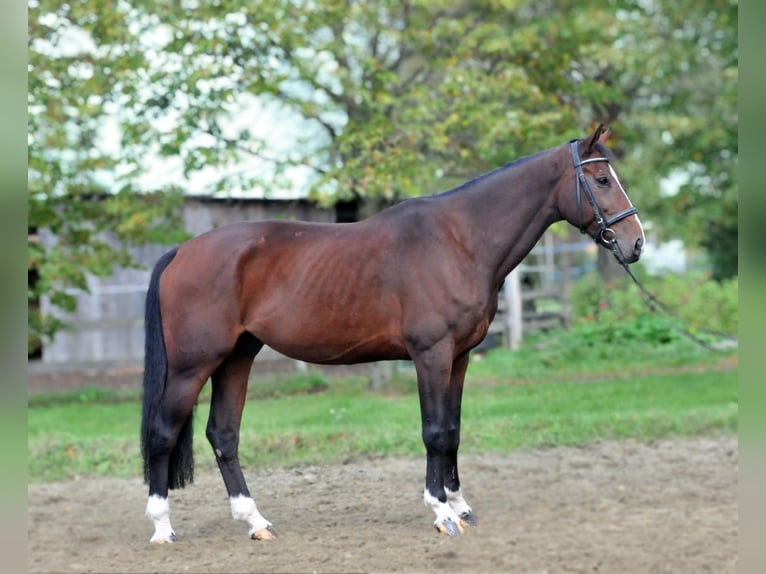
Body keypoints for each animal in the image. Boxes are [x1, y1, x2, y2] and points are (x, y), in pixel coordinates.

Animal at [141, 124, 644, 544]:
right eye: (602, 180)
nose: (636, 242)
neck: (459, 241)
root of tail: (181, 252)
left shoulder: (459, 357)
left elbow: (453, 430)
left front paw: (460, 505)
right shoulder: (431, 354)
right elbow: (434, 432)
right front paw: (441, 512)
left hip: (237, 358)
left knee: (223, 435)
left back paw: (255, 522)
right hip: (193, 365)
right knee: (164, 433)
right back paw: (162, 528)